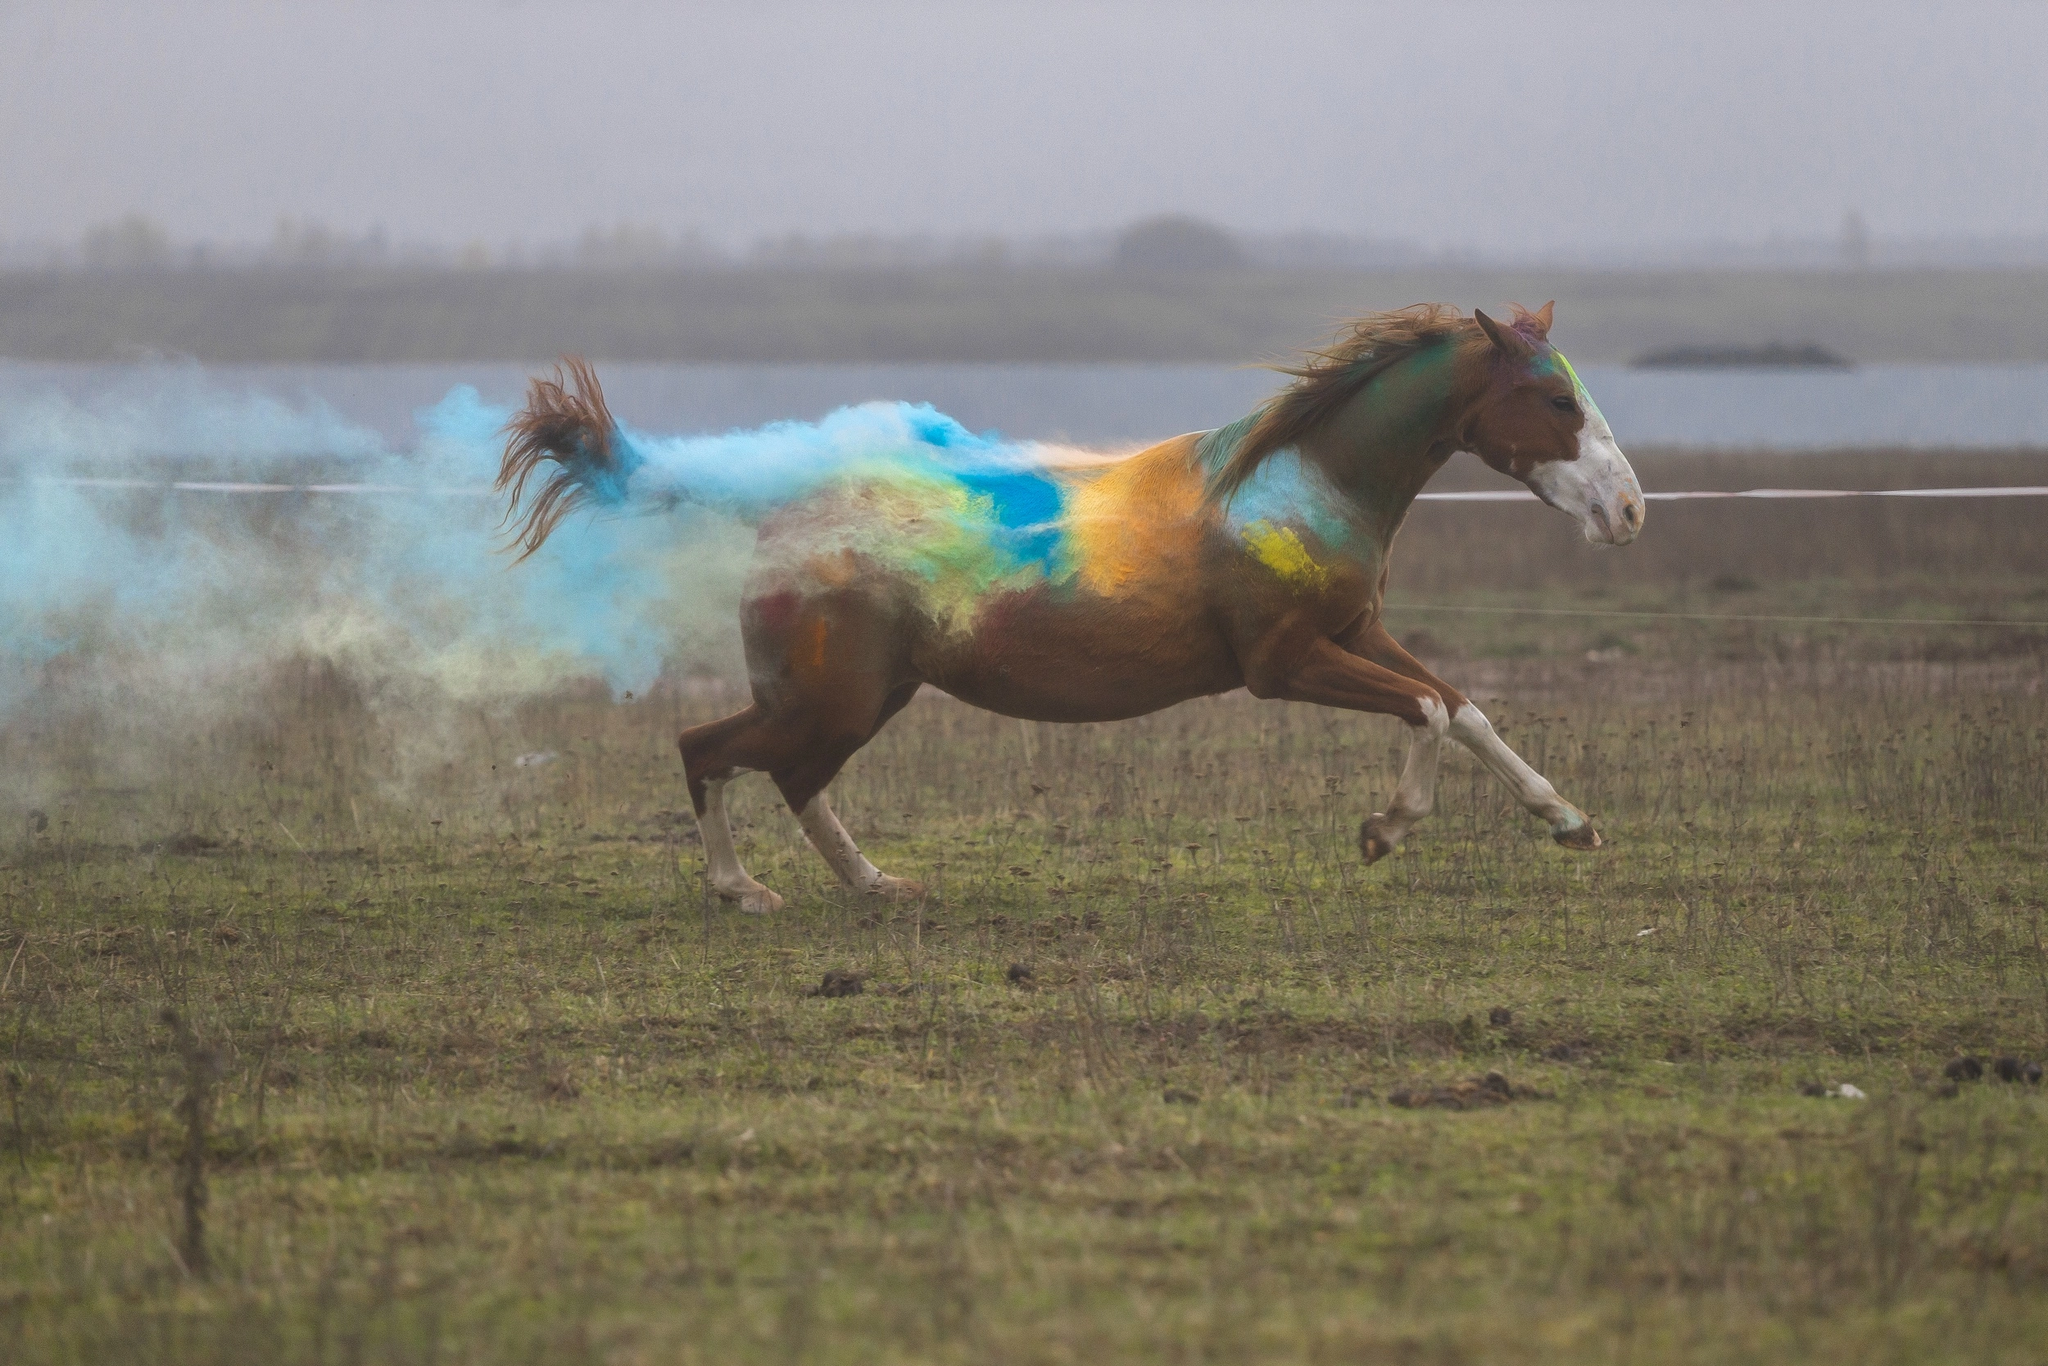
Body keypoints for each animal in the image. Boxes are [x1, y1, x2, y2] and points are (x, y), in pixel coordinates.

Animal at [499, 305, 1646, 913]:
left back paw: (876, 884)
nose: (1628, 510)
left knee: (788, 775)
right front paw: (1383, 831)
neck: (1301, 484)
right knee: (709, 749)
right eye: (1557, 400)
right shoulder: (1283, 662)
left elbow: (1464, 706)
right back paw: (743, 891)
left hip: (861, 698)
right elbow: (1428, 711)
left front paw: (1570, 823)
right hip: (831, 697)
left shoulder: (1354, 633)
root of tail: (777, 510)